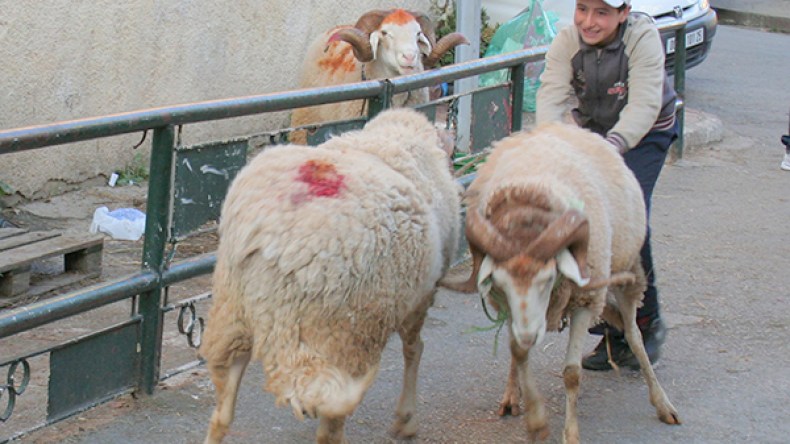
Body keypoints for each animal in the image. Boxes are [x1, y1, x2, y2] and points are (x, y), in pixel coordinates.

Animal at [200, 108, 461, 444]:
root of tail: (275, 233)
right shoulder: (423, 296)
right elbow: (414, 349)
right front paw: (407, 419)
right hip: (345, 334)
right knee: (330, 428)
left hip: (232, 315)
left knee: (222, 412)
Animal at [443, 122, 680, 443]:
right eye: (500, 283)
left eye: (548, 278)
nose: (529, 334)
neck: (527, 208)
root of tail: (563, 126)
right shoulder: (510, 308)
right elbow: (518, 353)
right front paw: (534, 420)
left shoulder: (585, 301)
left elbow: (571, 373)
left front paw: (570, 433)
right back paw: (512, 395)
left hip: (627, 274)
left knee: (634, 334)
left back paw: (661, 401)